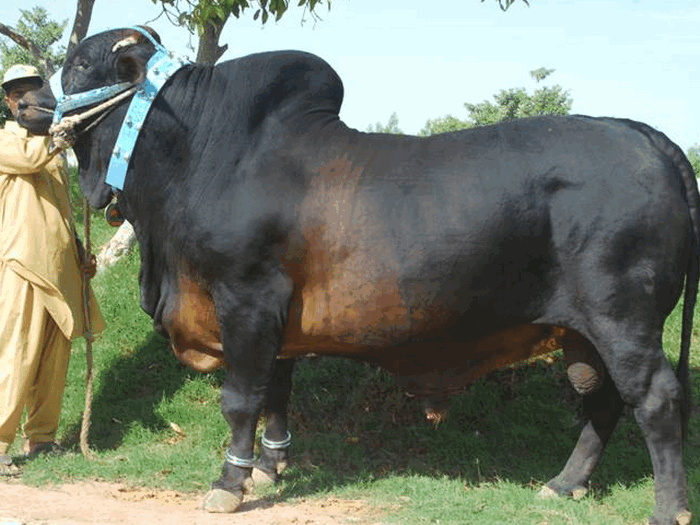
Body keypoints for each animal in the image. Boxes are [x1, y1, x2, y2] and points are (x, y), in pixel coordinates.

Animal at [34, 28, 700, 524]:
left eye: (78, 62)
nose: (30, 106)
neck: (199, 153)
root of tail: (643, 135)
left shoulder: (246, 296)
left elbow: (241, 397)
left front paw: (230, 481)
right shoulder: (278, 317)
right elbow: (277, 390)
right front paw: (270, 467)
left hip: (623, 317)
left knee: (655, 399)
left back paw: (666, 508)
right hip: (584, 332)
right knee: (603, 402)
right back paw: (563, 484)